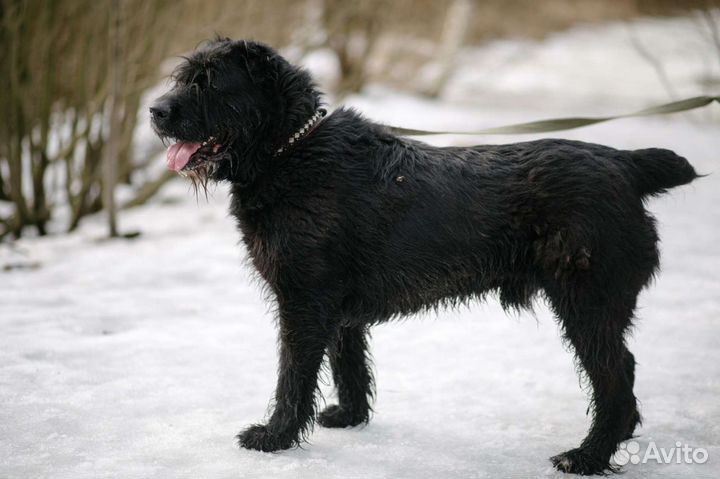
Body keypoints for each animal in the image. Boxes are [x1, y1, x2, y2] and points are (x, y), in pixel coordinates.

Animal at [150, 40, 696, 476]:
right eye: (182, 77)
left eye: (209, 83)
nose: (154, 110)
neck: (290, 151)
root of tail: (625, 164)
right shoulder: (336, 310)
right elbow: (348, 362)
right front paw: (349, 417)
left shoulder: (303, 302)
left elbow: (293, 377)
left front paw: (275, 436)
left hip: (587, 304)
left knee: (616, 379)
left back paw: (588, 457)